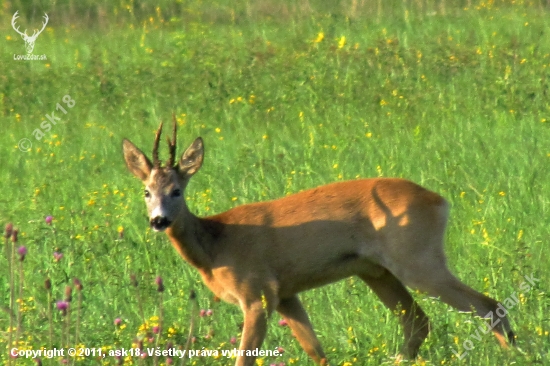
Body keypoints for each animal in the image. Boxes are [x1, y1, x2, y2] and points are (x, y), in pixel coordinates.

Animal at [124, 118, 516, 364]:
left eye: (176, 190)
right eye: (146, 191)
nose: (159, 220)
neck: (215, 246)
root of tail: (440, 201)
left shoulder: (257, 291)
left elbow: (245, 357)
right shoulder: (286, 293)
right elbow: (317, 351)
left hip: (417, 259)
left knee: (487, 305)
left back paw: (513, 355)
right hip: (375, 271)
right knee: (418, 321)